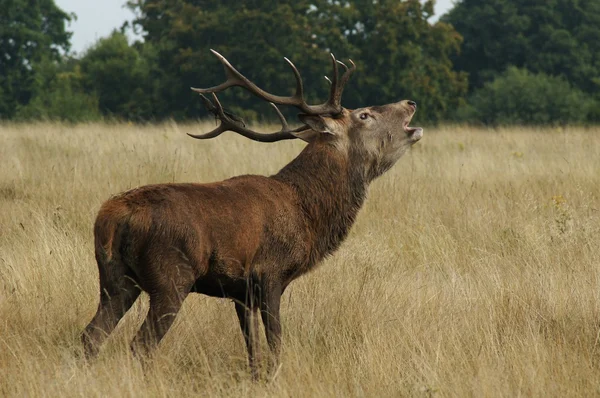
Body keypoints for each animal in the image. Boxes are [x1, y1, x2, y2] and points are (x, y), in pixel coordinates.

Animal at [82, 48, 424, 378]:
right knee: (140, 344)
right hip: (170, 276)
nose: (410, 102)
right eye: (364, 114)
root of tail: (112, 218)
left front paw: (256, 378)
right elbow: (275, 341)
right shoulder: (270, 272)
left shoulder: (240, 291)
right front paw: (275, 377)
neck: (307, 215)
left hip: (115, 278)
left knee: (91, 336)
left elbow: (252, 349)